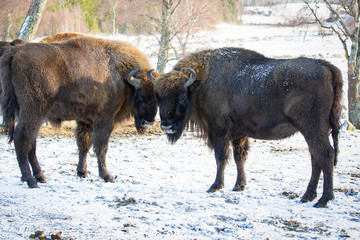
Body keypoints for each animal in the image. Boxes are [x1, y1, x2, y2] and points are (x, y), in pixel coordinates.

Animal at [0, 36, 158, 189]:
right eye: (139, 96)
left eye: (157, 98)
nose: (148, 122)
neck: (120, 75)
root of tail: (14, 52)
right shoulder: (105, 120)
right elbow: (101, 148)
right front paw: (107, 176)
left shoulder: (85, 120)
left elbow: (84, 145)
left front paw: (82, 173)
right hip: (34, 111)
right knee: (22, 138)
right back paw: (31, 181)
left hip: (30, 114)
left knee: (31, 142)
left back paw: (40, 177)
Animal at [153, 47, 344, 208]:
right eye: (158, 97)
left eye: (181, 97)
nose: (166, 125)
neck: (202, 81)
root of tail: (328, 68)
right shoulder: (239, 134)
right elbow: (240, 158)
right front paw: (239, 186)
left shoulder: (219, 131)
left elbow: (221, 157)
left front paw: (215, 186)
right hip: (315, 131)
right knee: (316, 158)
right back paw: (307, 197)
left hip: (312, 129)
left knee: (325, 155)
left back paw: (323, 200)